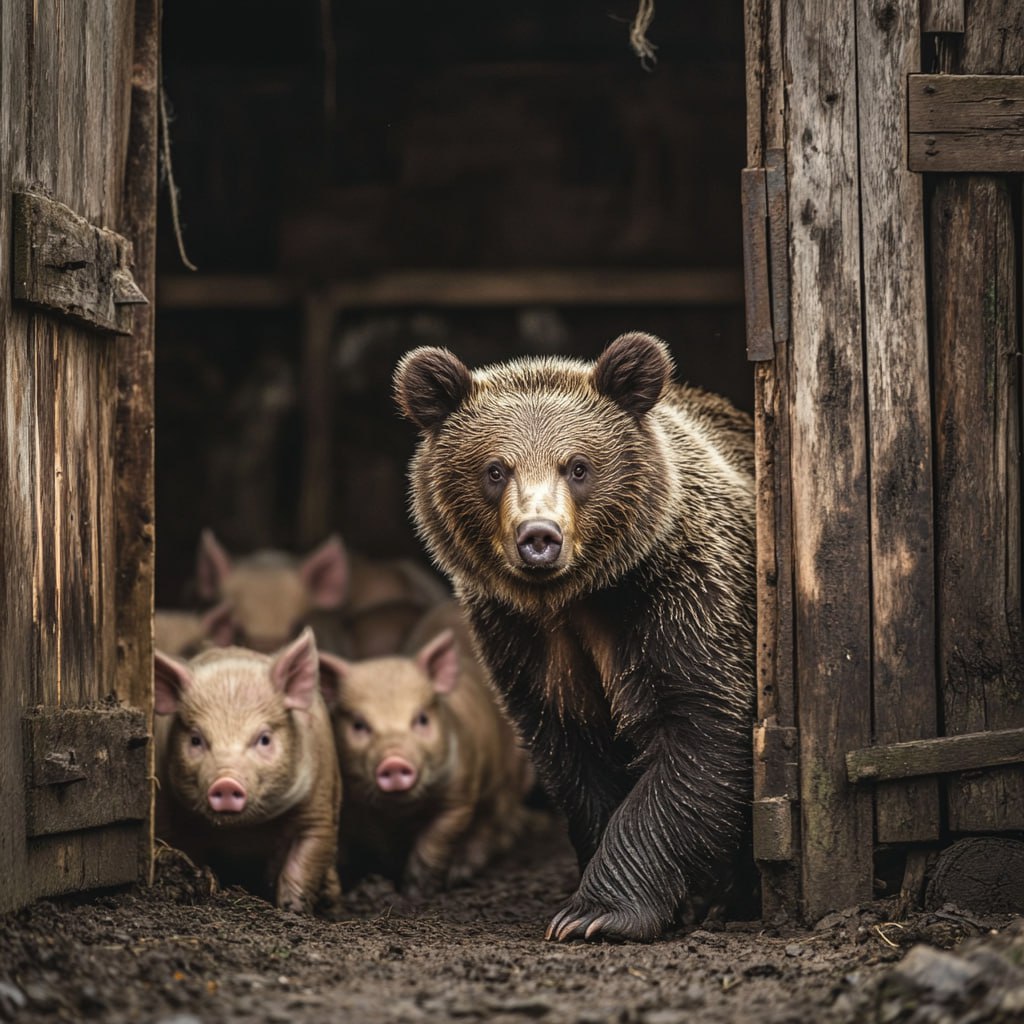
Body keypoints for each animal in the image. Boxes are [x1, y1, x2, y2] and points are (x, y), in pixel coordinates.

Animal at [395, 329, 757, 942]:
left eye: (578, 466)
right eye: (496, 469)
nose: (539, 536)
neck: (578, 597)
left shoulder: (686, 602)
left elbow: (699, 732)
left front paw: (595, 913)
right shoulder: (523, 640)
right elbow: (575, 758)